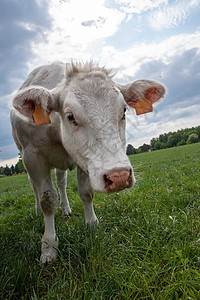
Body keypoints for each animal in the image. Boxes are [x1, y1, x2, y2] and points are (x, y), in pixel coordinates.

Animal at [10, 61, 165, 262]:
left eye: (123, 111)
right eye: (70, 116)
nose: (119, 176)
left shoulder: (85, 160)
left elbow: (86, 192)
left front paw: (92, 224)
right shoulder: (32, 156)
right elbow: (48, 200)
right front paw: (48, 246)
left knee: (61, 181)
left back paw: (66, 208)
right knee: (35, 187)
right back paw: (37, 210)